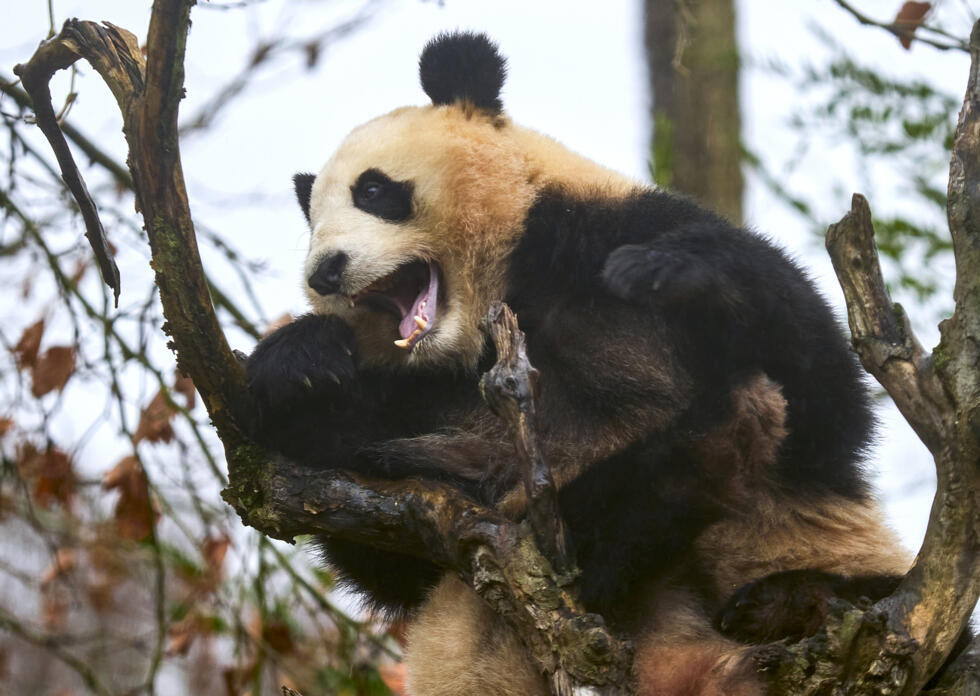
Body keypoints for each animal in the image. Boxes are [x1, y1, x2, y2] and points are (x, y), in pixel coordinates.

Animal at [245, 32, 916, 695]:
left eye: (373, 190)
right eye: (312, 225)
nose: (325, 272)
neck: (498, 305)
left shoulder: (602, 232)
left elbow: (826, 406)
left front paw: (678, 273)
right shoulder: (423, 407)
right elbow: (387, 550)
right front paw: (300, 366)